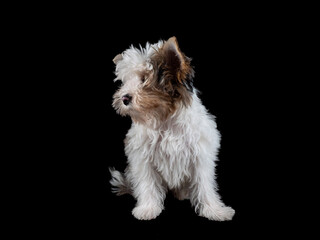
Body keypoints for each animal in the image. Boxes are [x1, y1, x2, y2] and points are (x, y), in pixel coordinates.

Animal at [109, 36, 234, 221]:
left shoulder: (200, 155)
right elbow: (147, 181)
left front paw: (214, 210)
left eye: (144, 79)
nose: (124, 98)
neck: (164, 119)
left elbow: (204, 183)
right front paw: (148, 208)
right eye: (125, 82)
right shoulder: (143, 157)